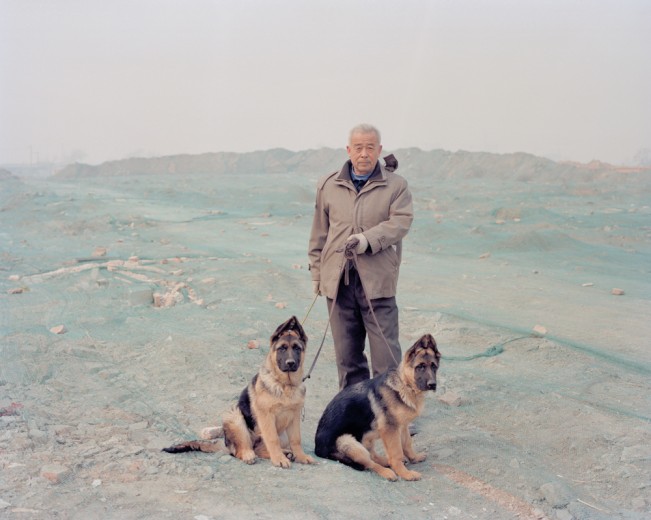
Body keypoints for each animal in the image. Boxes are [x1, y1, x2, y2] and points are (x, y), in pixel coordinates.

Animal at [163, 316, 316, 468]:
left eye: (297, 348)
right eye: (282, 348)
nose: (291, 363)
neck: (285, 385)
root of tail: (226, 445)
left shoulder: (294, 417)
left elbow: (296, 439)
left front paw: (301, 456)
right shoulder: (266, 415)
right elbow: (272, 439)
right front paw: (279, 459)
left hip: (281, 433)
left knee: (260, 448)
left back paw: (287, 453)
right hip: (235, 416)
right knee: (242, 450)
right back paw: (250, 454)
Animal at [314, 334, 440, 481]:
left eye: (434, 367)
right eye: (420, 367)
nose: (432, 384)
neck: (404, 385)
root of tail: (317, 449)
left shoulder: (402, 426)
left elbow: (407, 444)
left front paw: (414, 458)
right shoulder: (390, 429)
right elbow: (396, 453)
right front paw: (405, 473)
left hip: (366, 438)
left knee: (372, 456)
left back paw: (386, 462)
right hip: (348, 442)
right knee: (369, 463)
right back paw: (387, 471)